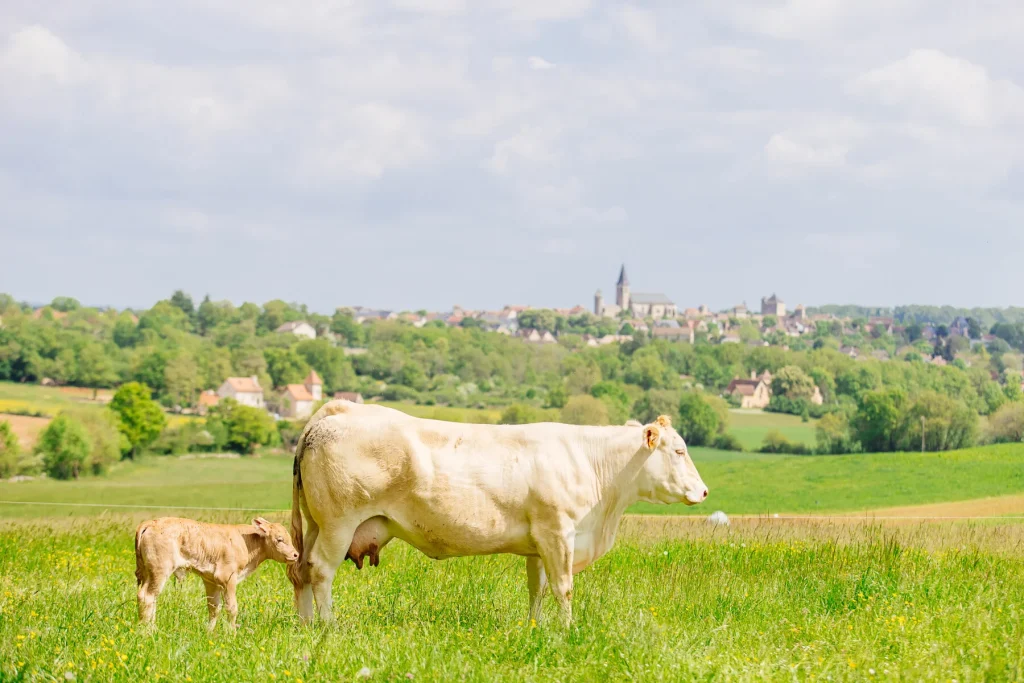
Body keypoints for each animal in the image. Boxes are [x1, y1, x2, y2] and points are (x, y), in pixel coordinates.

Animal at [134, 518, 299, 630]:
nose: (296, 554)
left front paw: (210, 632)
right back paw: (147, 630)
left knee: (152, 598)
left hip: (149, 573)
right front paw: (232, 633)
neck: (246, 541)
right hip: (160, 571)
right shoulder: (228, 579)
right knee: (147, 596)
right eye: (279, 539)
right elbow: (232, 608)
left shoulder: (211, 581)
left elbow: (213, 608)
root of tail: (150, 523)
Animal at [284, 401, 708, 626]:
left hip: (317, 525)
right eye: (679, 451)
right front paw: (568, 630)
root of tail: (339, 410)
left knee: (300, 570)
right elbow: (564, 587)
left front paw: (535, 627)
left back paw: (305, 625)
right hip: (338, 524)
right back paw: (329, 626)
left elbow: (538, 588)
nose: (704, 491)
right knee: (321, 571)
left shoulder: (540, 542)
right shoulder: (558, 532)